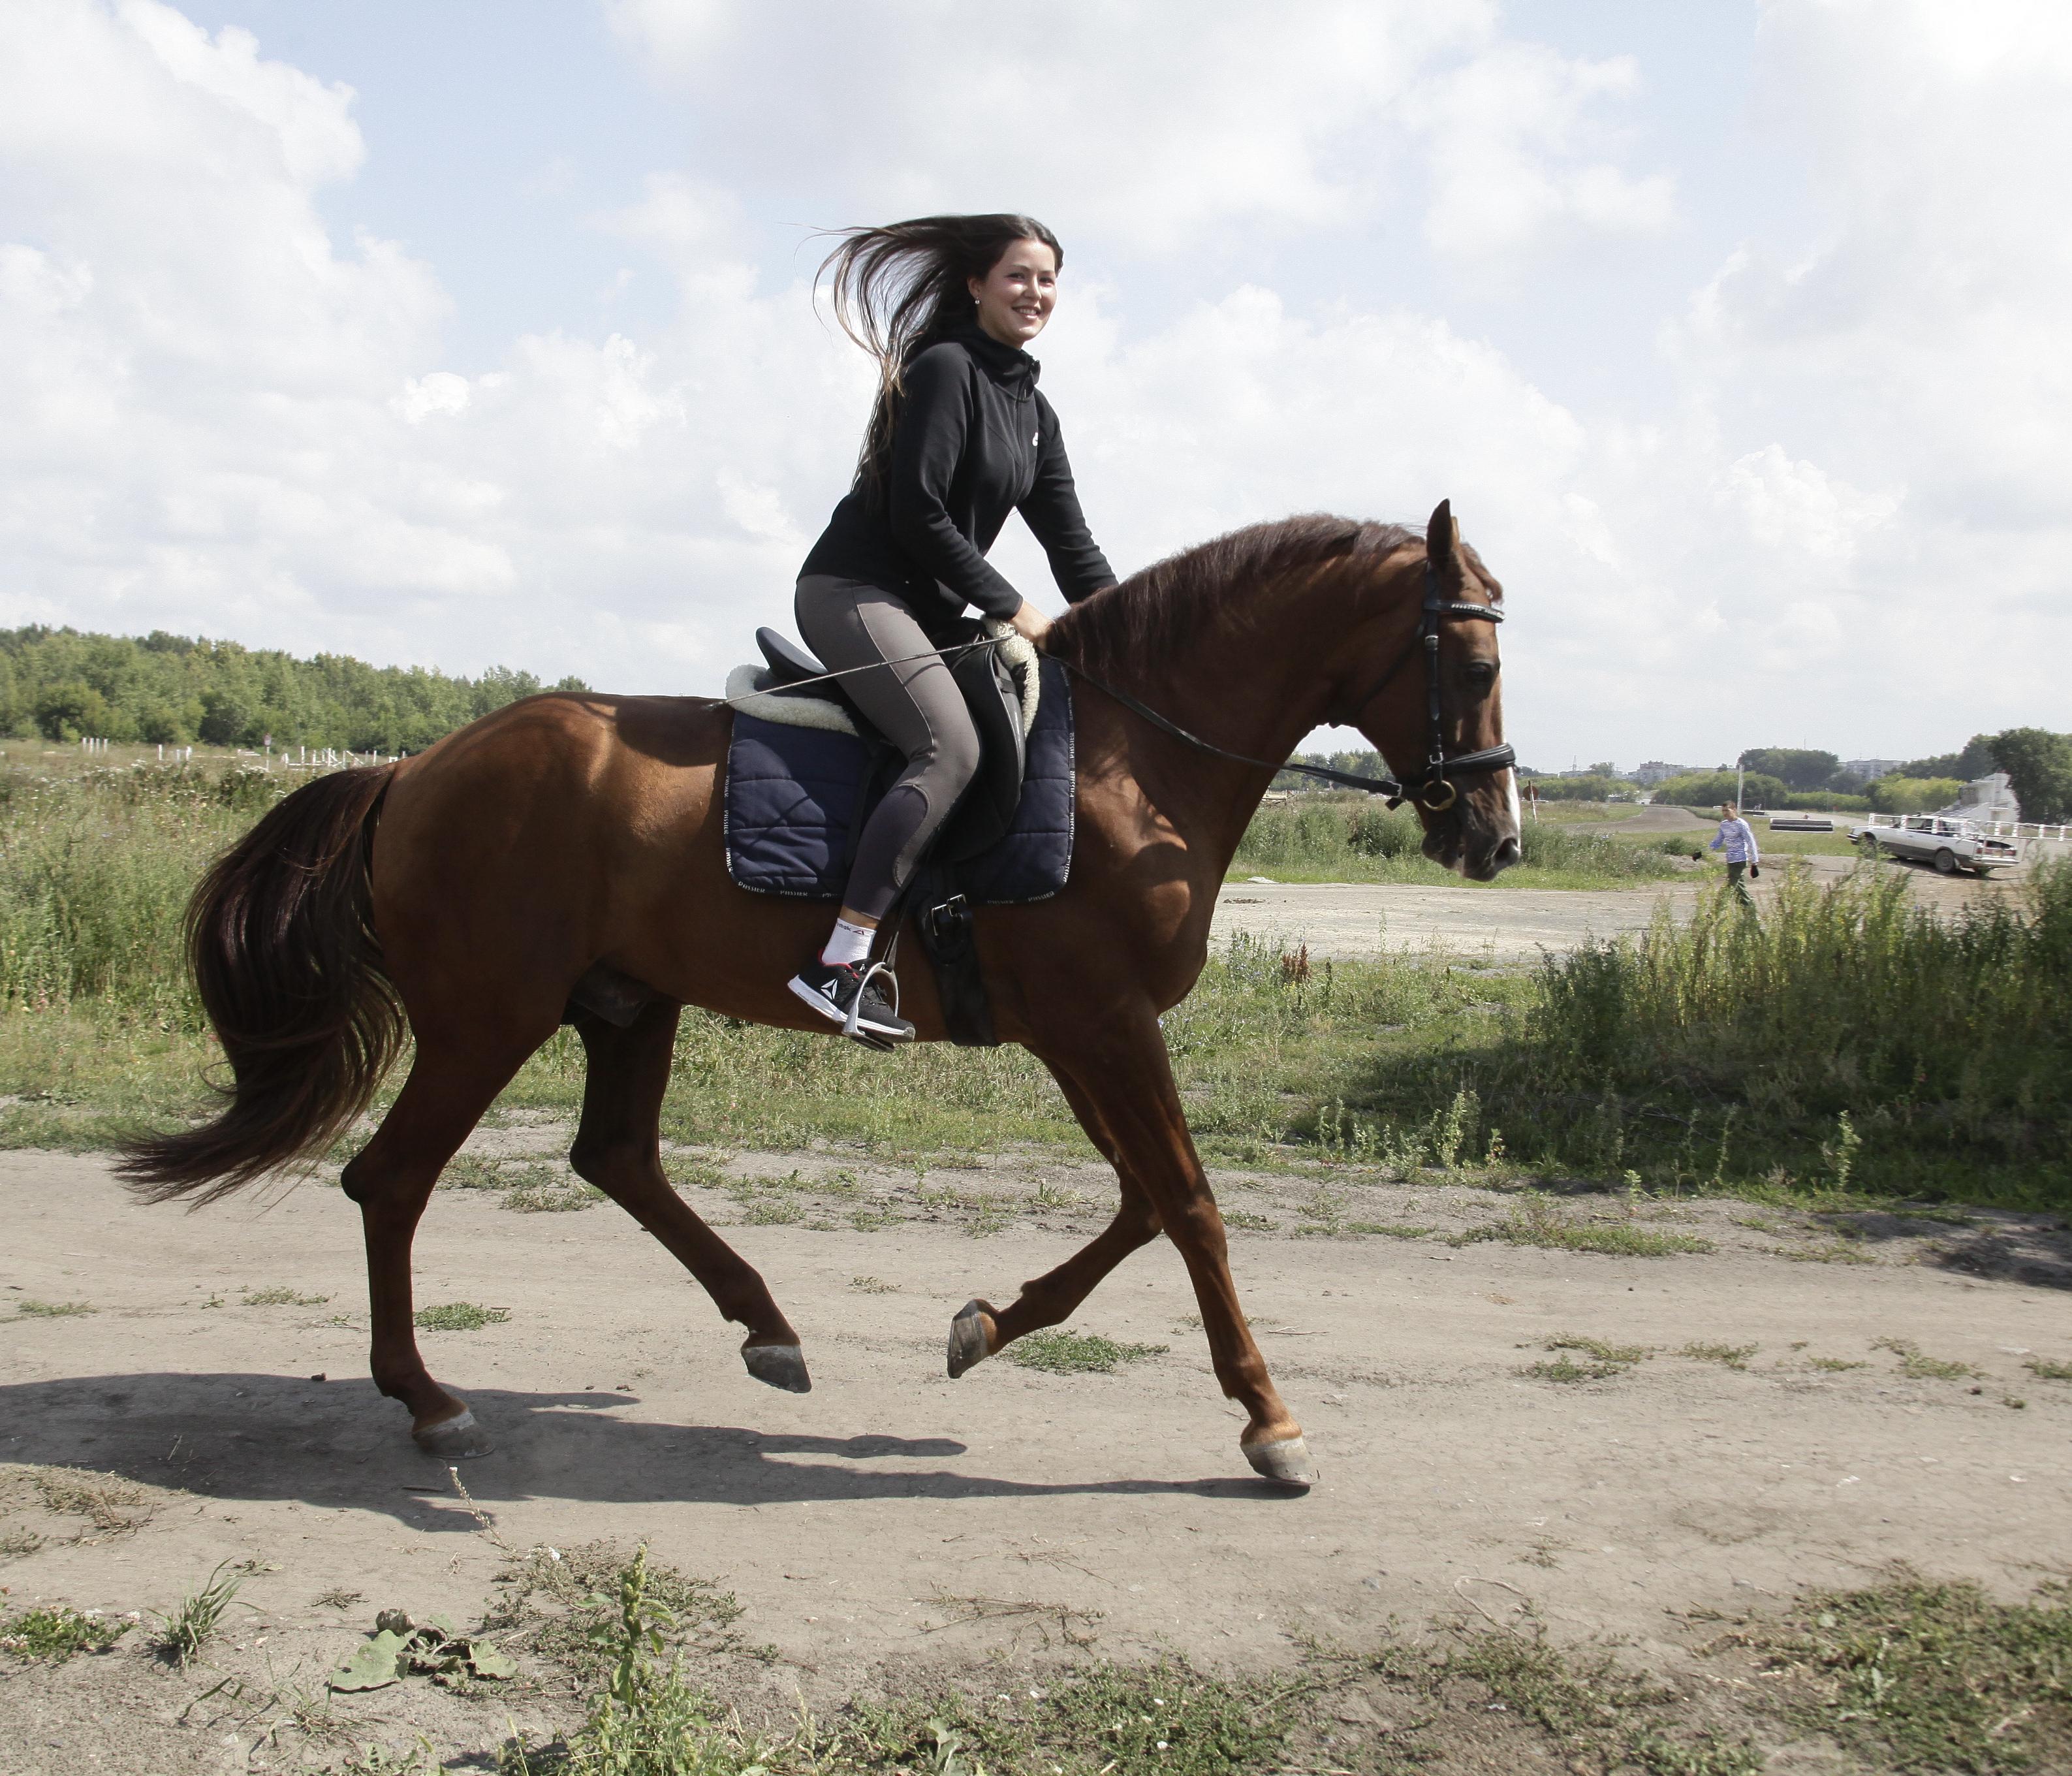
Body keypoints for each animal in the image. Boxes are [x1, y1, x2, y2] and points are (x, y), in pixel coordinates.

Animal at [113, 495, 1516, 1483]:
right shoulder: (1104, 1025)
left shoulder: (1080, 1034)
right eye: (1474, 667)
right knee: (391, 1180)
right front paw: (1268, 1420)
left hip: (627, 1001)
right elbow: (1189, 1206)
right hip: (486, 1018)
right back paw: (429, 1400)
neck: (1128, 761)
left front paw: (984, 1325)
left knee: (616, 1157)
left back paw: (765, 1329)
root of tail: (412, 769)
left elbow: (1138, 1204)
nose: (1495, 841)